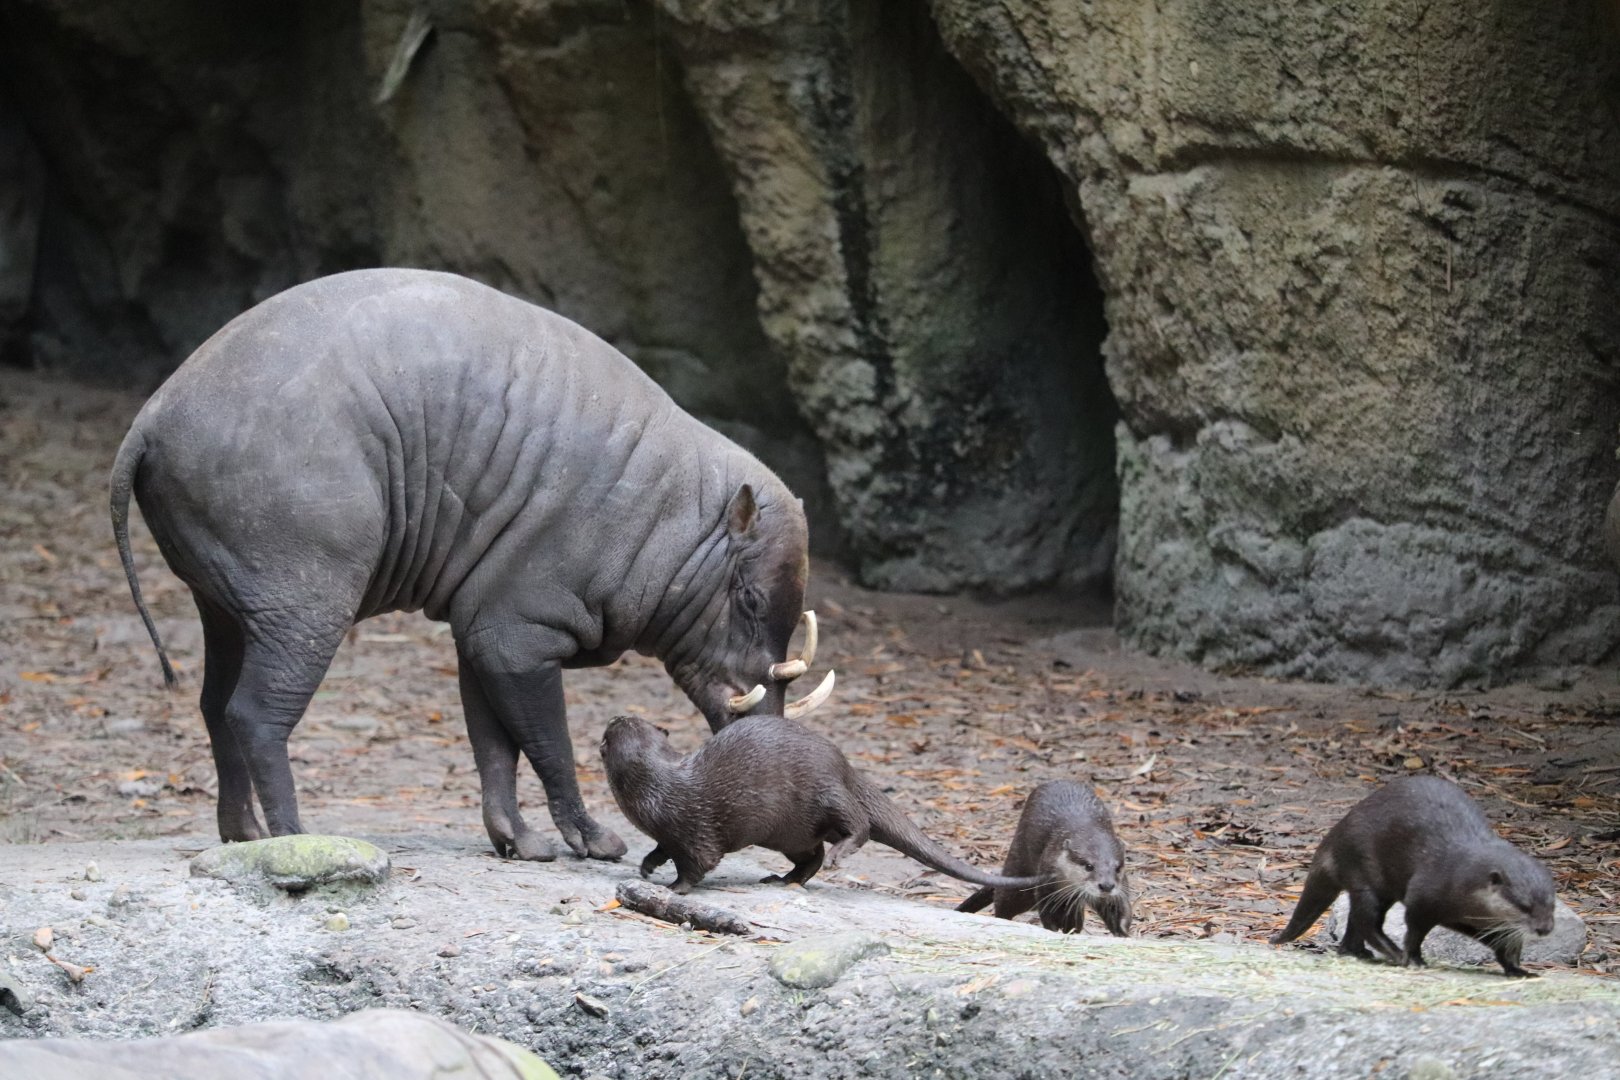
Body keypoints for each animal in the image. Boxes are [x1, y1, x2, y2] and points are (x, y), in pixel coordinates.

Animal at [601, 714, 1052, 895]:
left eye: (610, 730)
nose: (614, 718)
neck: (659, 788)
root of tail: (845, 765)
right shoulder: (670, 830)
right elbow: (662, 847)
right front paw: (647, 866)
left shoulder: (694, 827)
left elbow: (699, 863)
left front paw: (674, 888)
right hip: (790, 833)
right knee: (811, 856)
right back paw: (783, 880)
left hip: (825, 790)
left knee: (858, 824)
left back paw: (839, 853)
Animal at [956, 780, 1131, 936]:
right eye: (1089, 866)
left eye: (1118, 868)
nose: (1106, 885)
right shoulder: (1047, 883)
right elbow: (1048, 913)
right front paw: (1054, 931)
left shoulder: (1118, 888)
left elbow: (1118, 909)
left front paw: (1123, 932)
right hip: (1019, 868)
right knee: (1003, 899)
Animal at [1270, 775, 1556, 976]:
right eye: (1524, 905)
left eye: (1551, 905)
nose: (1544, 929)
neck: (1460, 877)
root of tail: (1335, 836)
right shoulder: (1423, 898)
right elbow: (1414, 931)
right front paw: (1415, 959)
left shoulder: (1477, 922)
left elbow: (1501, 943)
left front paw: (1517, 969)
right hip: (1364, 873)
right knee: (1368, 920)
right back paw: (1393, 954)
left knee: (1356, 920)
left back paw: (1357, 953)